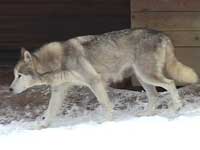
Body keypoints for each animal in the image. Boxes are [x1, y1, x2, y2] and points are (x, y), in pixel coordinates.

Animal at [9, 28, 198, 127]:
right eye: (14, 75)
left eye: (19, 75)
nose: (10, 89)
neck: (56, 61)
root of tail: (161, 34)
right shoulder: (59, 90)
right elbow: (50, 110)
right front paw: (43, 125)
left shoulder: (94, 81)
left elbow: (105, 104)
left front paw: (107, 122)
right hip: (143, 78)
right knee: (155, 95)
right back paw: (146, 114)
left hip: (148, 76)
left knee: (171, 83)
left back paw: (176, 108)